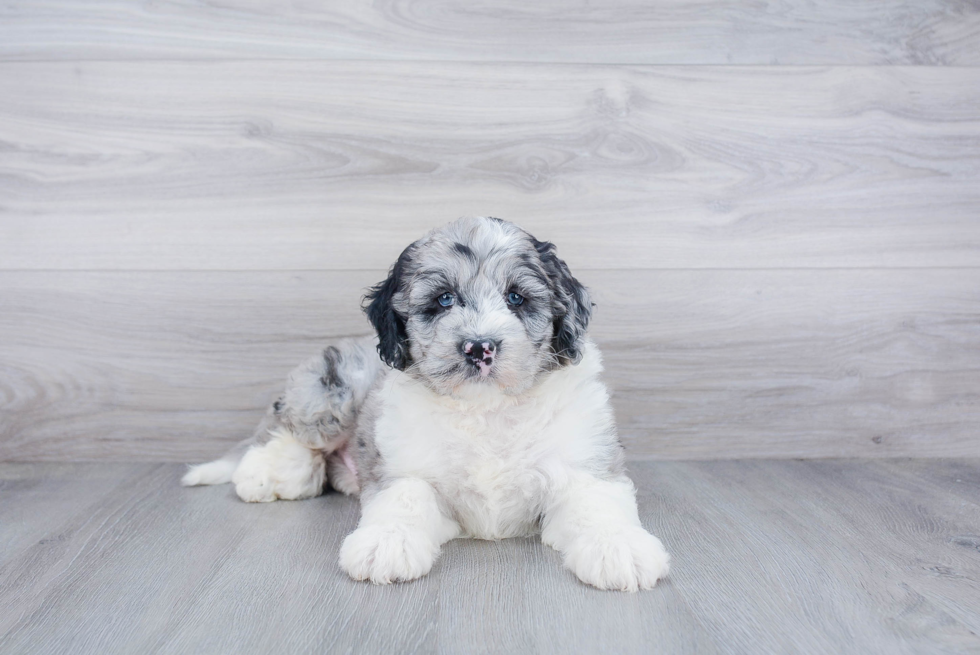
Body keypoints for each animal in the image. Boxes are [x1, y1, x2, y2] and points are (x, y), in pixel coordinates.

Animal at [182, 218, 672, 592]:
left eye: (516, 297)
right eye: (443, 300)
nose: (479, 346)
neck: (486, 409)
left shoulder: (585, 461)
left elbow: (597, 502)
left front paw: (619, 548)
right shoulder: (403, 462)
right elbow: (406, 497)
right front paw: (386, 544)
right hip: (334, 391)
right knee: (288, 427)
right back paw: (265, 473)